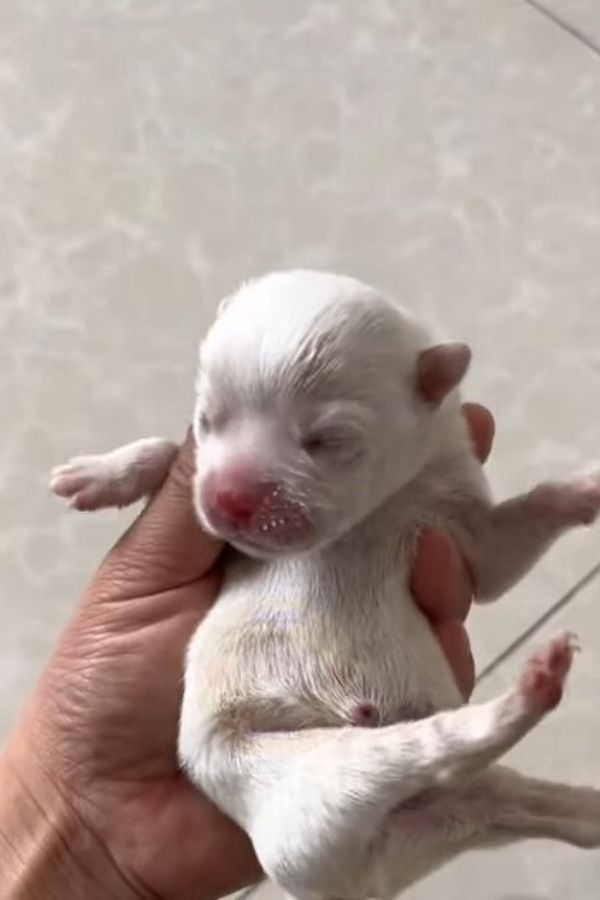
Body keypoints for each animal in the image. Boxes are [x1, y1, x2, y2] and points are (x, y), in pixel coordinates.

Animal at [51, 270, 600, 896]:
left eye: (325, 440)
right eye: (207, 419)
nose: (228, 499)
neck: (372, 512)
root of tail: (359, 879)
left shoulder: (464, 527)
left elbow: (514, 537)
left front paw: (585, 488)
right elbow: (165, 457)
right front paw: (102, 473)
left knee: (505, 787)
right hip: (318, 783)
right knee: (443, 752)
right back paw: (536, 691)